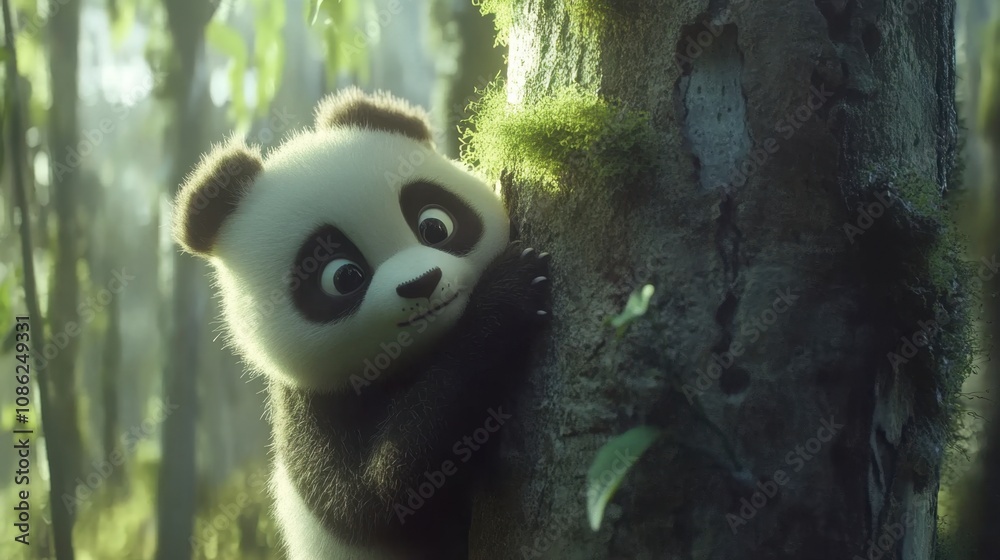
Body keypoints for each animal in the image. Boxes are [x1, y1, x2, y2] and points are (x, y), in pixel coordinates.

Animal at [172, 87, 551, 560]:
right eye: (342, 276)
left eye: (435, 226)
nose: (423, 282)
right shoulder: (312, 413)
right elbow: (384, 491)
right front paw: (509, 295)